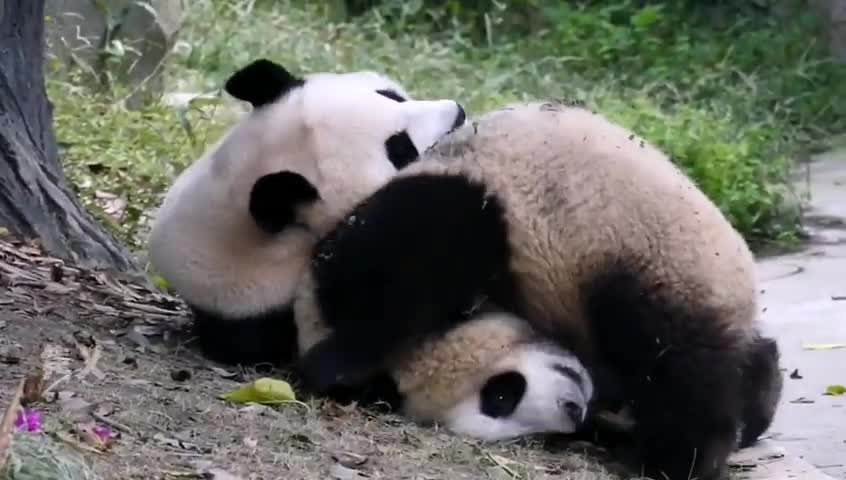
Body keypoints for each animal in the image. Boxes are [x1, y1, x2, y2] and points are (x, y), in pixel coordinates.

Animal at [294, 100, 784, 480]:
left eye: (500, 394)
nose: (571, 410)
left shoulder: (463, 211)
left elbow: (408, 268)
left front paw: (333, 362)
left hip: (661, 262)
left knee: (675, 363)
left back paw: (678, 458)